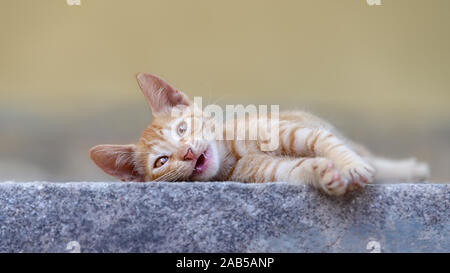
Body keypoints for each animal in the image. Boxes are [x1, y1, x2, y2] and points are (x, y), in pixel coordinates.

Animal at [89, 73, 428, 194]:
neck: (232, 153)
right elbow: (298, 169)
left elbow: (327, 143)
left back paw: (408, 170)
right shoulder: (266, 173)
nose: (187, 152)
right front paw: (324, 174)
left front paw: (350, 166)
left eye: (181, 129)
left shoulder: (293, 130)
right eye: (161, 162)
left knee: (369, 156)